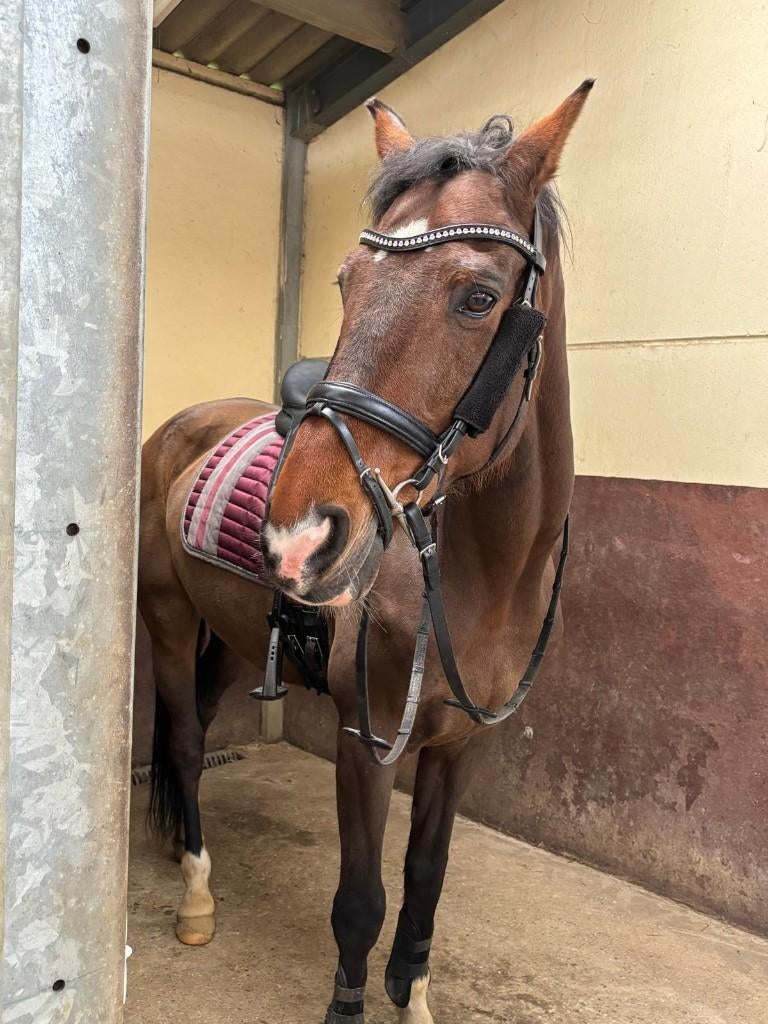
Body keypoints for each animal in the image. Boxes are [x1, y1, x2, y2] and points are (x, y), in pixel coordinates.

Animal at [138, 81, 592, 1023]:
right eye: (348, 281)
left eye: (478, 297)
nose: (296, 538)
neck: (483, 578)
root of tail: (179, 426)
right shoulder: (363, 738)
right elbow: (361, 904)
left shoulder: (462, 748)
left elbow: (424, 884)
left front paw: (412, 994)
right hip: (165, 619)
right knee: (189, 744)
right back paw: (196, 892)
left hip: (233, 641)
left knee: (195, 722)